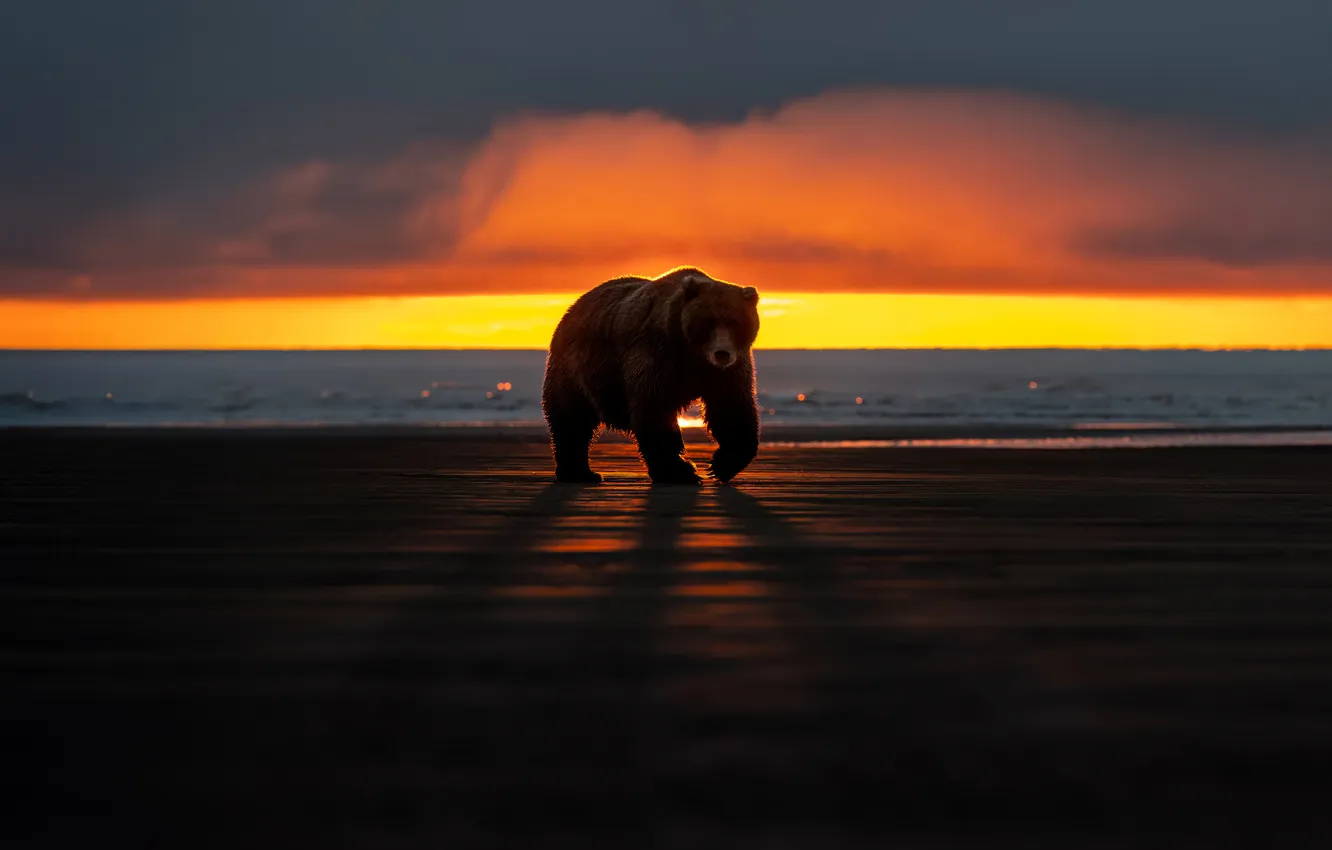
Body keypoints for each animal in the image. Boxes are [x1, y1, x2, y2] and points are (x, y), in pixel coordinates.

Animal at [542, 266, 761, 485]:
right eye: (708, 322)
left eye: (735, 322)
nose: (722, 353)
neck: (692, 353)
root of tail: (573, 307)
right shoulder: (656, 354)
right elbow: (655, 407)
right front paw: (680, 471)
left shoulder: (727, 370)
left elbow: (730, 407)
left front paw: (721, 465)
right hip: (575, 366)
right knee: (572, 417)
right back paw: (578, 472)